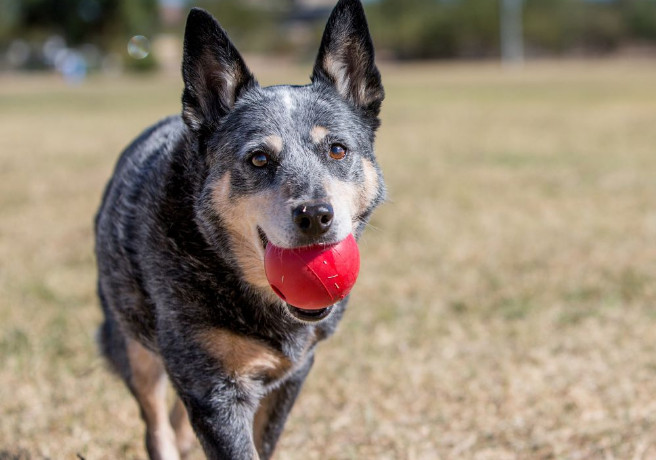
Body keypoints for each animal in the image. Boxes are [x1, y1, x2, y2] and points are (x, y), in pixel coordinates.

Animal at [95, 1, 386, 458]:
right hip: (131, 342)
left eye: (337, 150)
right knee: (156, 423)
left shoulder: (291, 375)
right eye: (259, 159)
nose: (315, 215)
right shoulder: (212, 388)